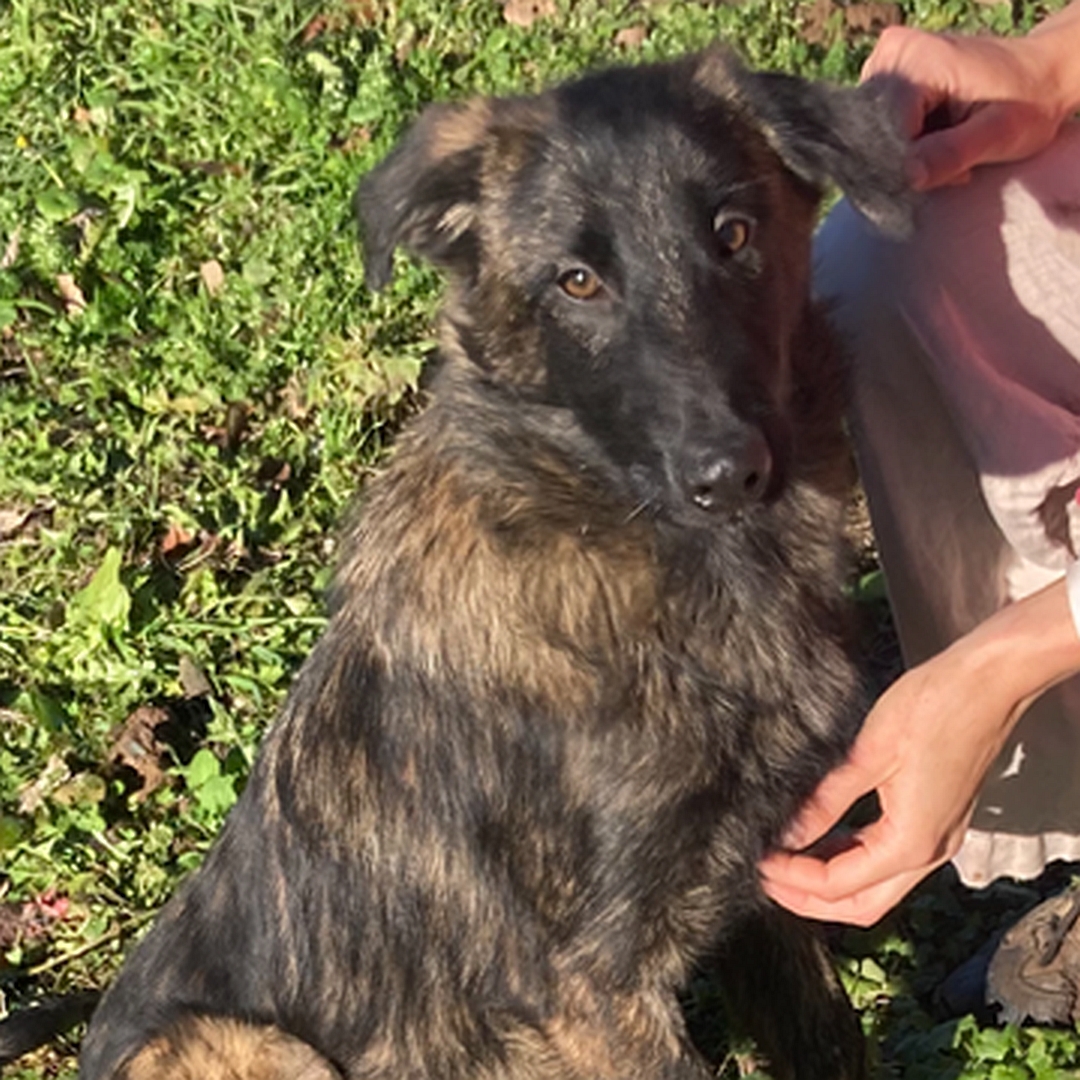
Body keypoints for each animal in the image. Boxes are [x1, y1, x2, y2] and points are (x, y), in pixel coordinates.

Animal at [73, 46, 911, 1080]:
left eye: (734, 234)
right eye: (577, 281)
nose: (729, 472)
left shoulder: (762, 882)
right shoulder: (596, 989)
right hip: (234, 1040)